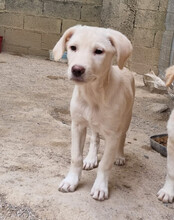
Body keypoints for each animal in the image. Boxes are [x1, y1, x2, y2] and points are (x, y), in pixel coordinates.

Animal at [52, 25, 135, 201]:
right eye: (73, 47)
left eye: (99, 51)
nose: (77, 69)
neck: (93, 95)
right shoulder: (77, 125)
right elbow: (76, 157)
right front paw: (71, 181)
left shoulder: (112, 134)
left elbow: (105, 164)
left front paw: (100, 187)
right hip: (94, 123)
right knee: (95, 138)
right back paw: (90, 159)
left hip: (126, 119)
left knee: (123, 137)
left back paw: (119, 156)